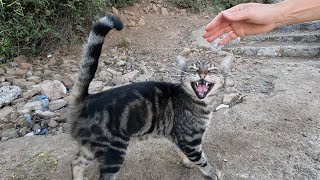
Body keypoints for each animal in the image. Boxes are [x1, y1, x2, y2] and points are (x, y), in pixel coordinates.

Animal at [69, 15, 231, 180]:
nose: (202, 74)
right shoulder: (190, 141)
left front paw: (187, 162)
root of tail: (86, 99)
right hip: (113, 152)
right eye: (194, 69)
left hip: (91, 148)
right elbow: (203, 162)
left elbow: (182, 151)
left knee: (76, 163)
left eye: (211, 70)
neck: (201, 103)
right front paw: (212, 174)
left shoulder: (178, 137)